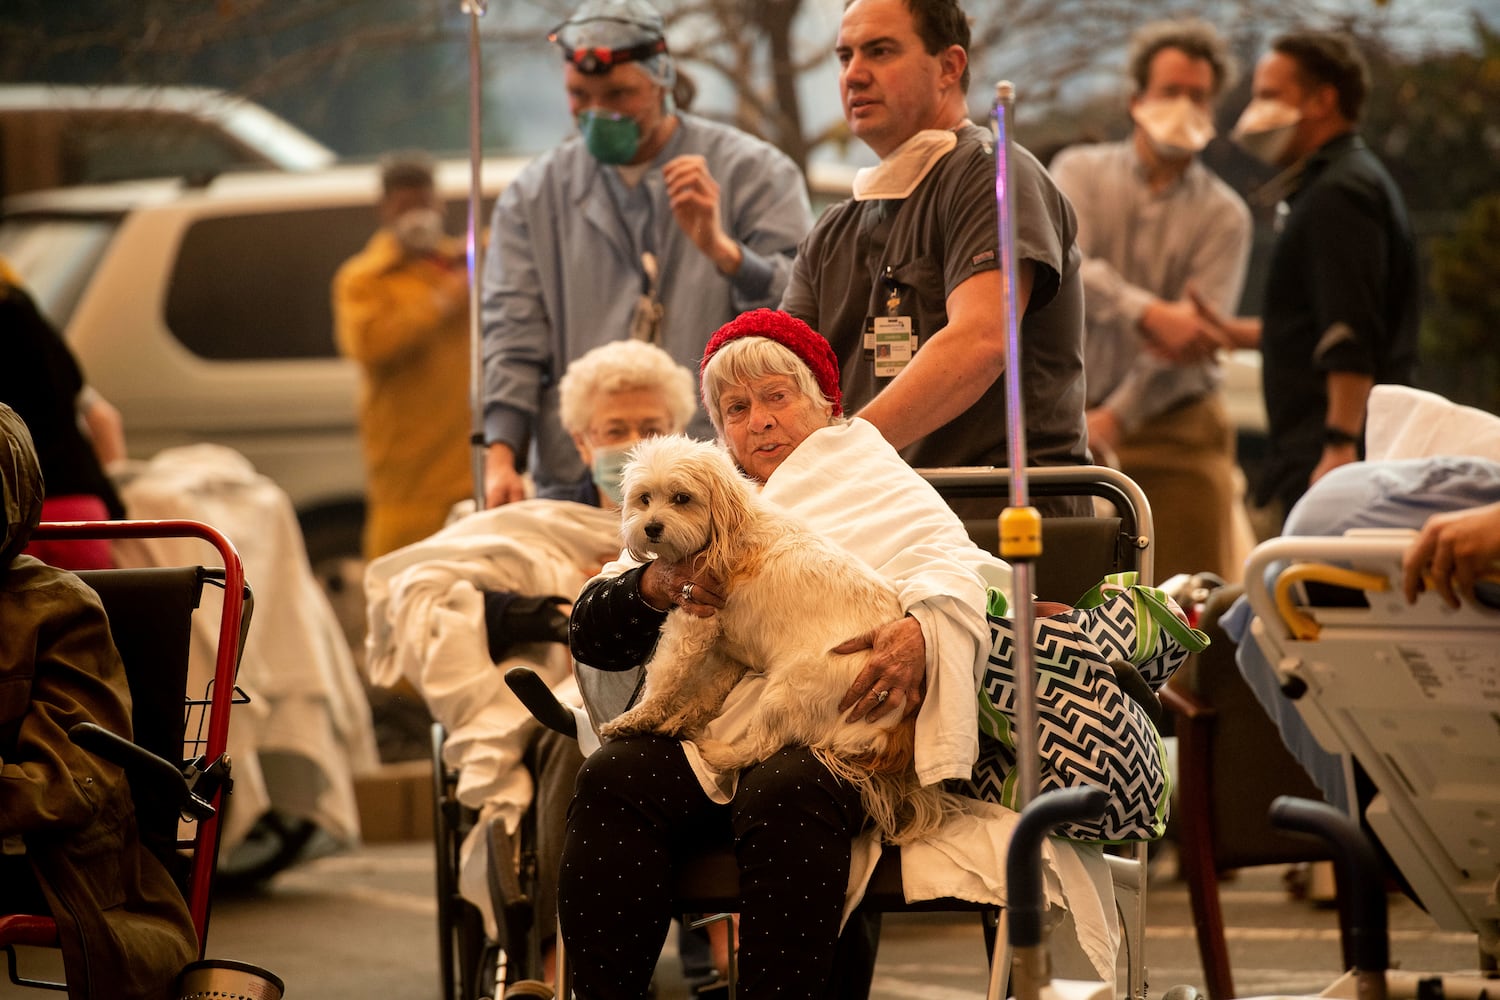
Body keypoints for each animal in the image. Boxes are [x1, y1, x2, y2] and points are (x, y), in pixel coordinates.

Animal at [594, 434, 954, 839]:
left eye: (681, 498)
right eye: (644, 498)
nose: (651, 527)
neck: (730, 529)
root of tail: (891, 735)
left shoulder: (693, 622)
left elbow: (666, 677)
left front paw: (635, 719)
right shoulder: (726, 649)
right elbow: (706, 693)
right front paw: (680, 718)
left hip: (787, 689)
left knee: (761, 746)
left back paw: (714, 750)